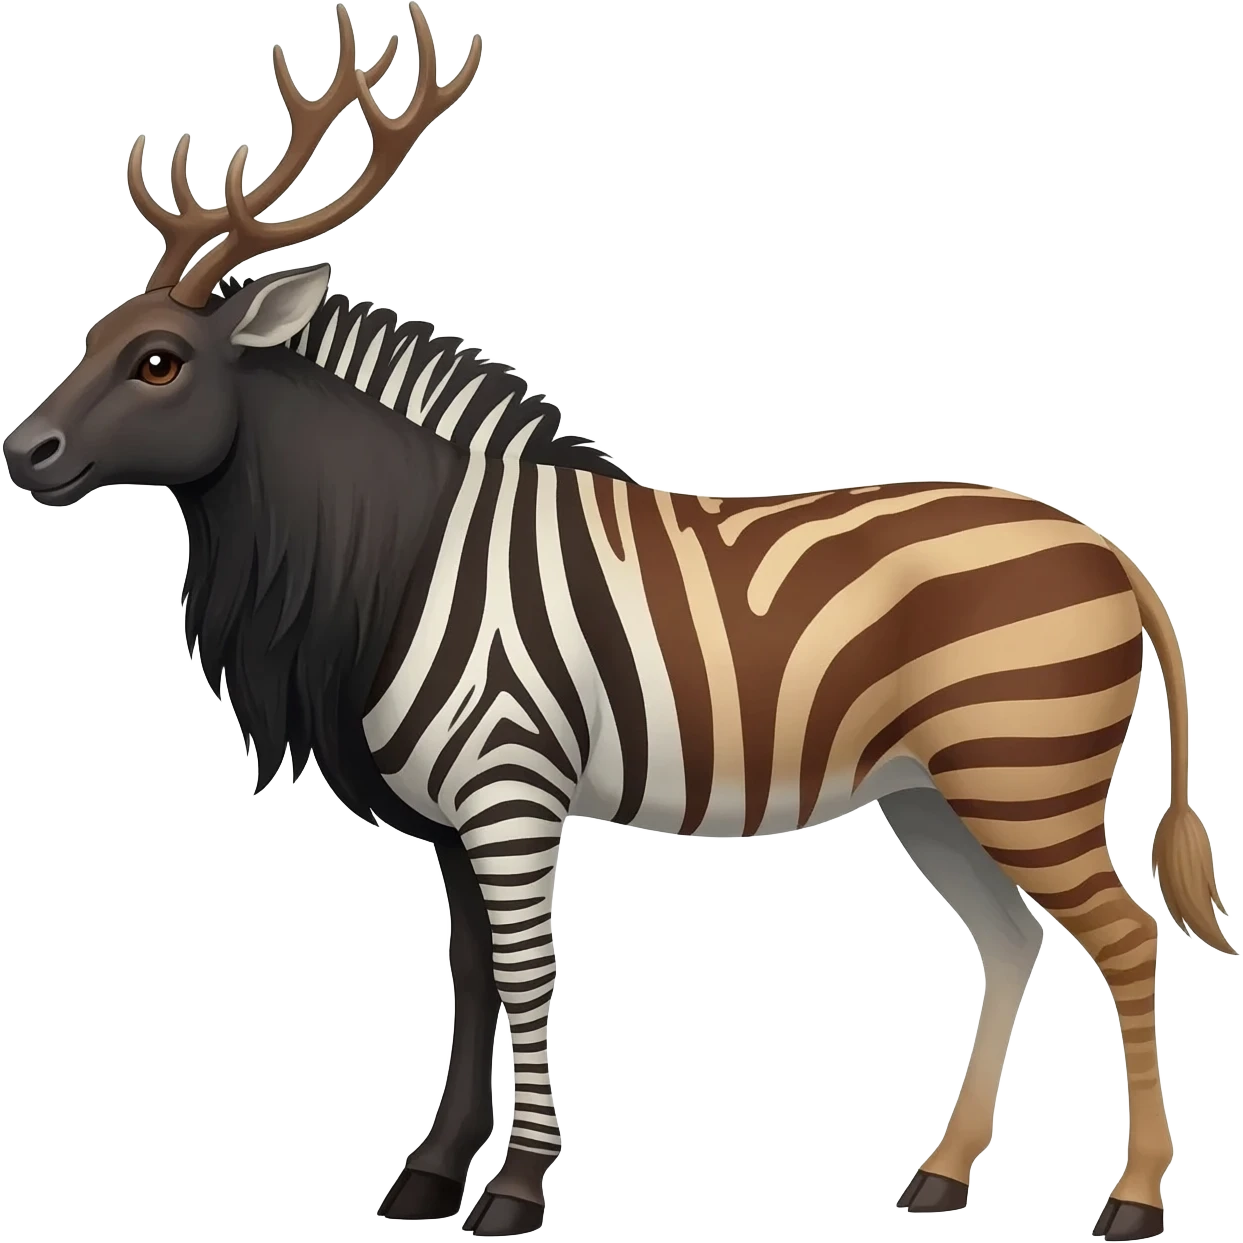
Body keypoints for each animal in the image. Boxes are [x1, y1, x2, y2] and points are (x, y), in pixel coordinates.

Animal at [2, 5, 1233, 1239]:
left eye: (159, 362)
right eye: (94, 337)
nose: (22, 453)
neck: (399, 556)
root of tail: (1105, 548)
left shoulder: (510, 788)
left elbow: (528, 972)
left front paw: (515, 1186)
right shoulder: (453, 820)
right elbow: (470, 977)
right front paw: (431, 1175)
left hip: (1023, 769)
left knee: (1125, 939)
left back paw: (1132, 1199)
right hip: (932, 791)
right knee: (1011, 937)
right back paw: (940, 1175)